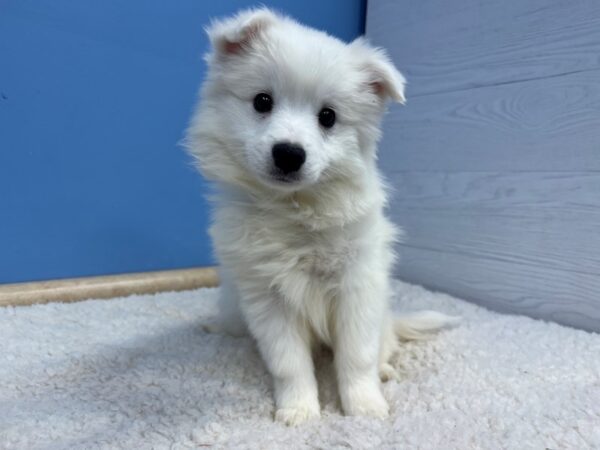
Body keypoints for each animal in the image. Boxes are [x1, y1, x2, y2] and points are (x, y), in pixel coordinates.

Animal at [185, 8, 458, 428]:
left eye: (328, 117)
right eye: (262, 101)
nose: (289, 153)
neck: (296, 208)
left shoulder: (357, 286)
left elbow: (356, 356)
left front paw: (364, 408)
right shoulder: (266, 296)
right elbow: (289, 363)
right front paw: (299, 410)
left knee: (384, 344)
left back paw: (384, 371)